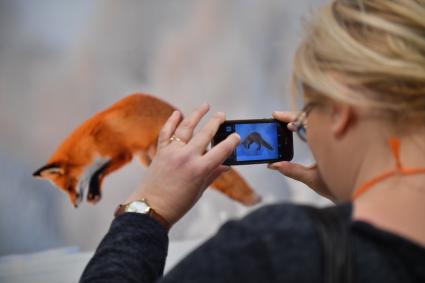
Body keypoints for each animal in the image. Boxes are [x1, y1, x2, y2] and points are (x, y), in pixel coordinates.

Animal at [33, 94, 260, 207]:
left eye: (69, 187)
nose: (75, 205)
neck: (92, 142)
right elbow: (97, 174)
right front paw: (94, 193)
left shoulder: (121, 154)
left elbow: (99, 173)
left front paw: (94, 193)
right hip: (146, 158)